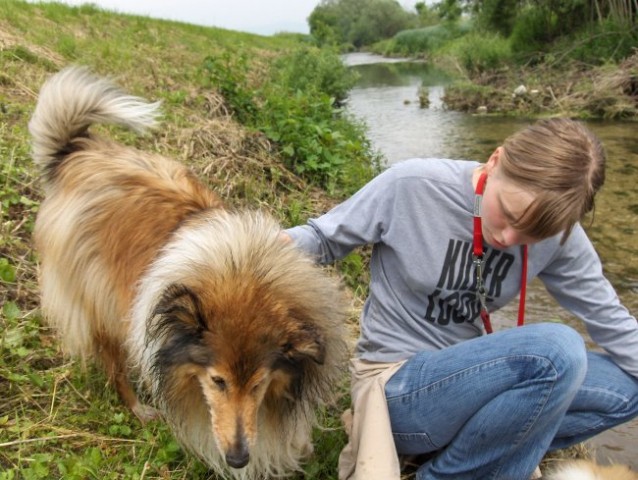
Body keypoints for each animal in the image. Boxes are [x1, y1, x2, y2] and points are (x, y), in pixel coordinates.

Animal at [28, 66, 350, 476]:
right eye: (218, 381)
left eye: (259, 384)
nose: (238, 458)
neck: (242, 271)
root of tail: (79, 153)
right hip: (101, 303)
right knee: (115, 366)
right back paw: (139, 408)